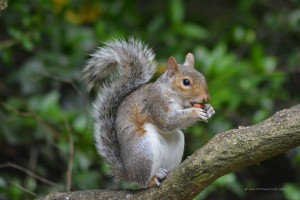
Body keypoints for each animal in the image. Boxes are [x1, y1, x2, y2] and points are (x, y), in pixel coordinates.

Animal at [82, 38, 216, 188]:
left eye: (203, 77)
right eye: (186, 82)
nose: (206, 98)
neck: (172, 94)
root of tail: (129, 173)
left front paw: (209, 109)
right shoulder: (154, 102)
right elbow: (167, 121)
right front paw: (195, 112)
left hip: (175, 143)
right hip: (143, 148)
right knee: (143, 181)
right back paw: (153, 178)